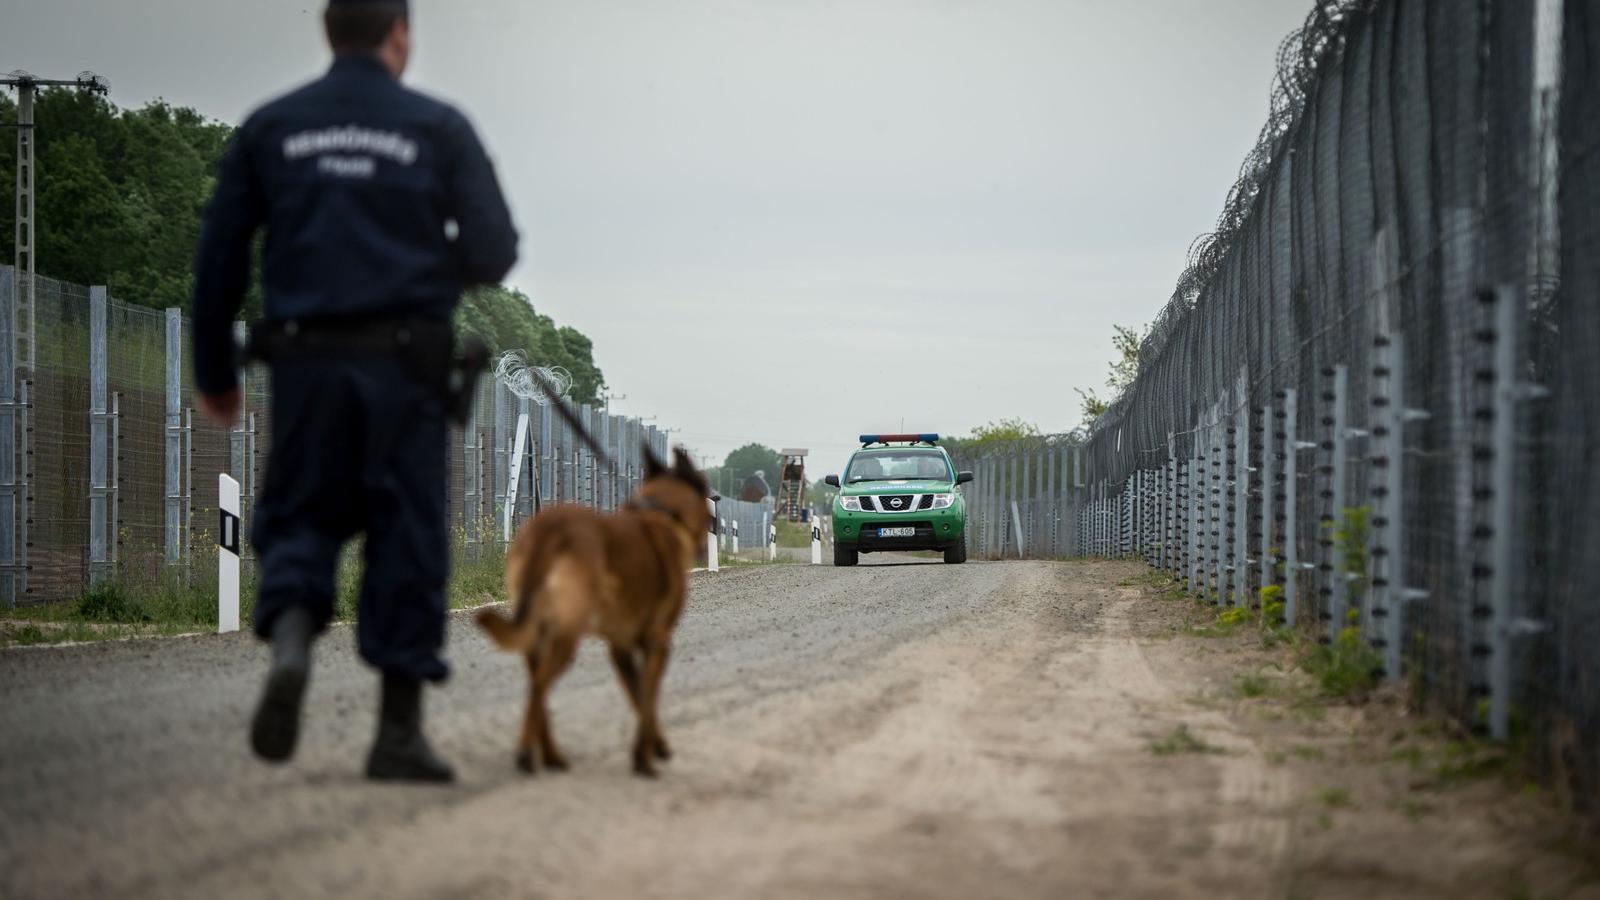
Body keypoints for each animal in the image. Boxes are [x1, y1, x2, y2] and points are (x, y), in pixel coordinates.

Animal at [467, 445, 707, 775]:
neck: (661, 513)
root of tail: (552, 527)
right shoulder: (658, 643)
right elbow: (648, 699)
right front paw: (646, 758)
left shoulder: (620, 648)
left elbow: (638, 697)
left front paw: (651, 747)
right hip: (567, 635)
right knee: (539, 686)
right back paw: (527, 753)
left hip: (537, 636)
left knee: (536, 686)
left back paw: (551, 755)